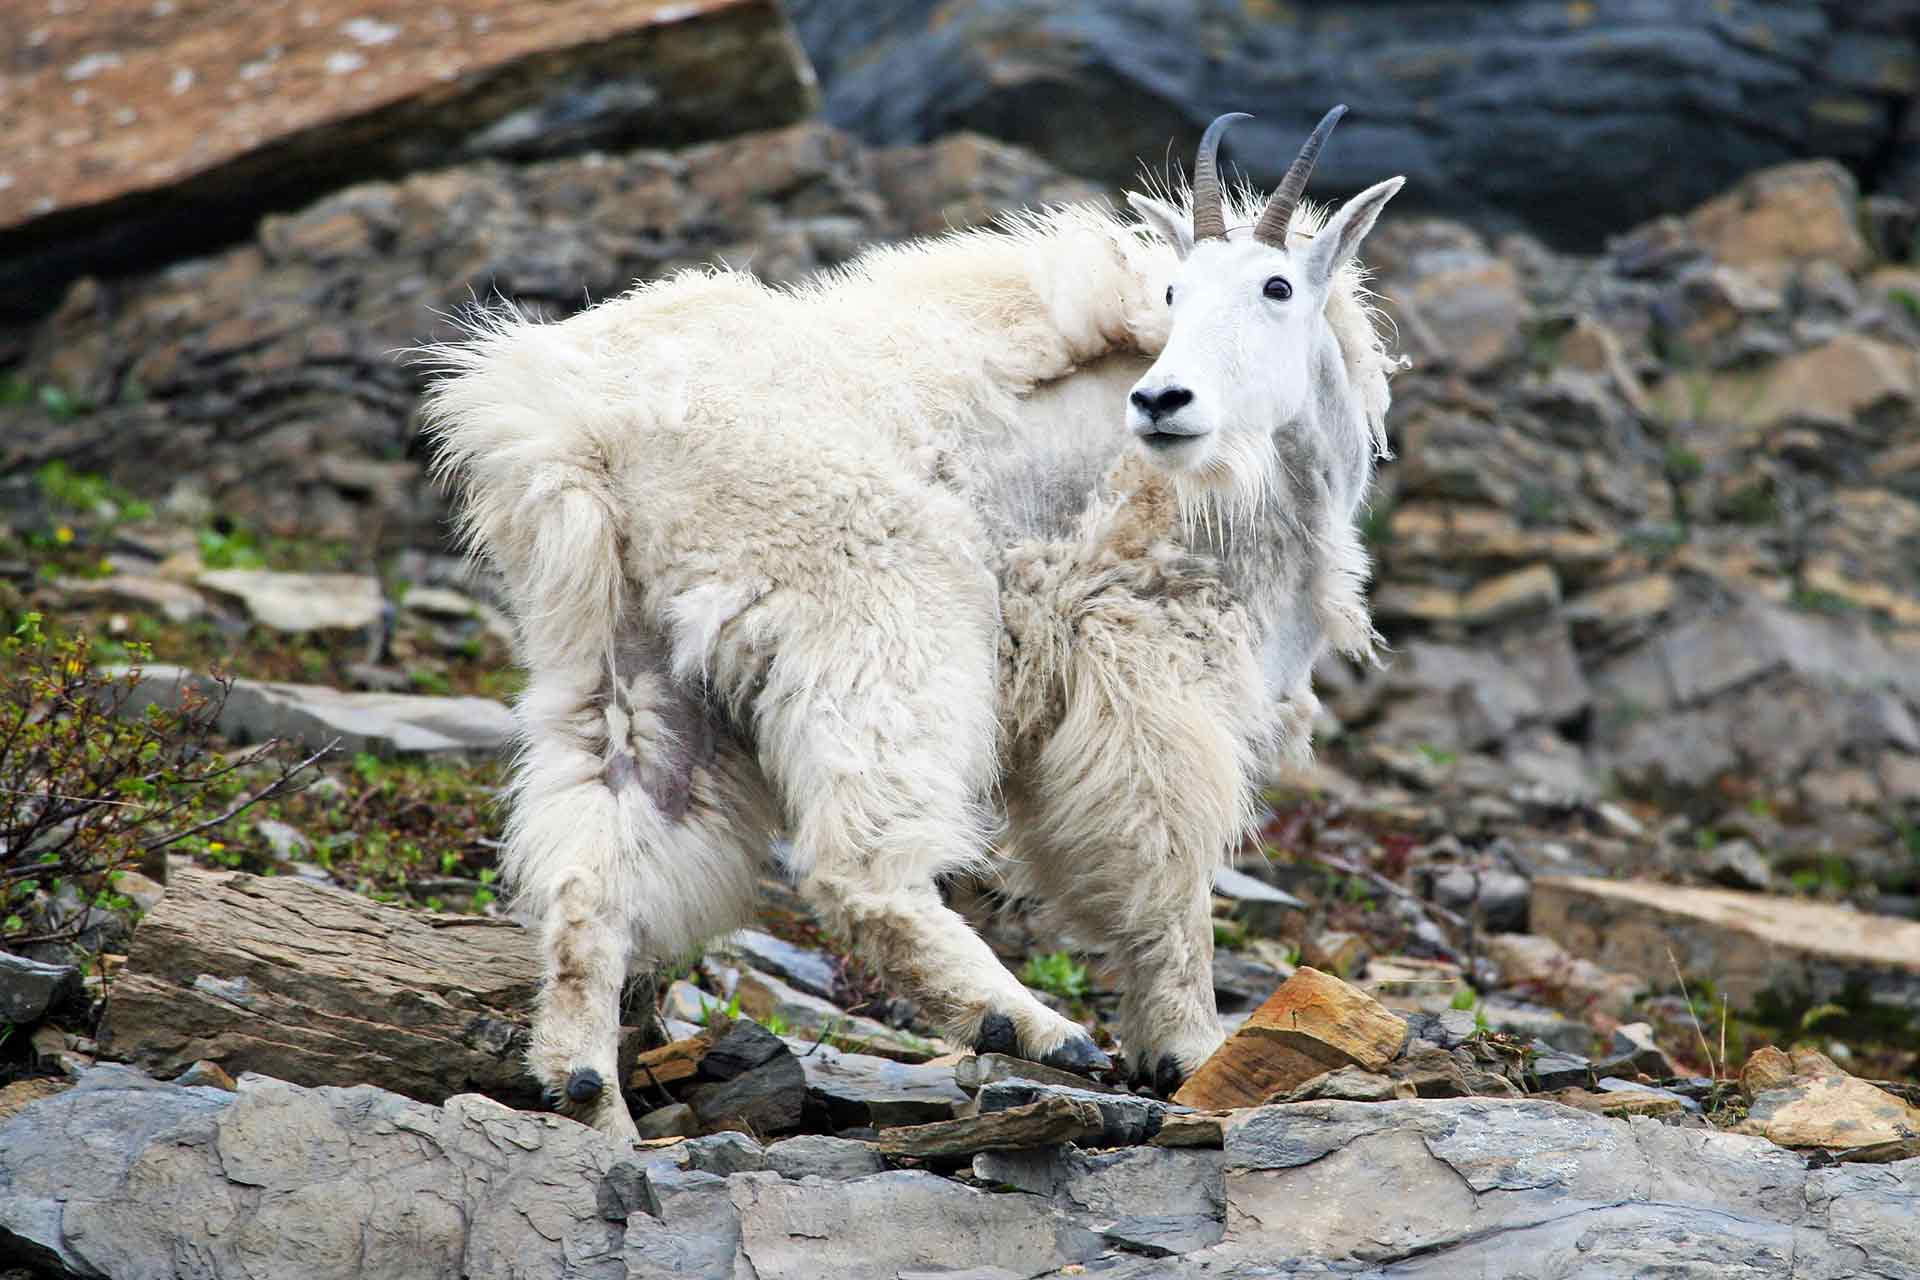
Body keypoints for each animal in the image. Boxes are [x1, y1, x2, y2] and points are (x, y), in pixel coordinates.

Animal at [428, 105, 1405, 1136]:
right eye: (1174, 292)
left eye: (1275, 286)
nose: (1161, 401)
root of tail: (582, 431)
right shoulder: (1148, 656)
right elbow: (1163, 859)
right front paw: (1186, 1047)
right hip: (886, 611)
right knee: (856, 863)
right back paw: (1028, 1025)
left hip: (620, 651)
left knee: (597, 845)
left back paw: (589, 1097)